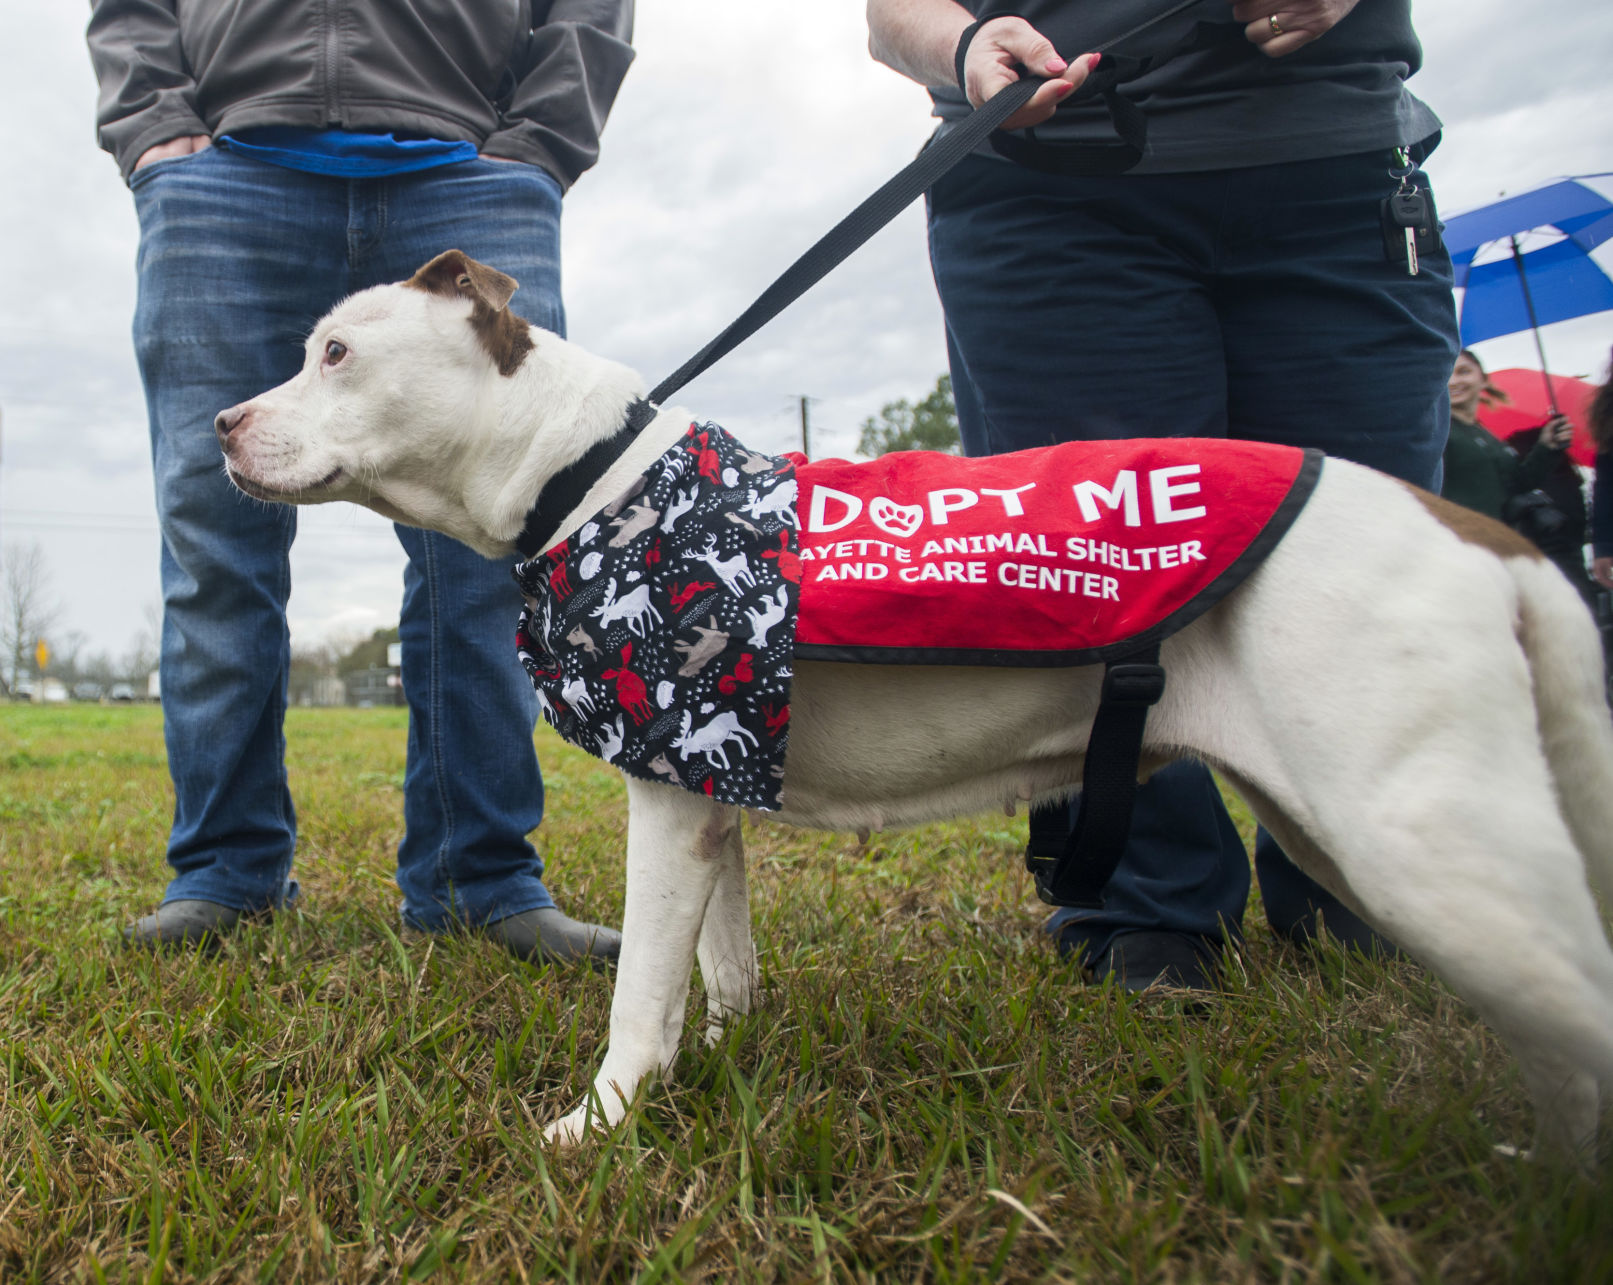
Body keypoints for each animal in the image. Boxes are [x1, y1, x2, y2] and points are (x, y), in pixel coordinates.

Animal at [214, 256, 1613, 1160]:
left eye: (335, 352)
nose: (222, 420)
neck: (587, 476)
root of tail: (1474, 530)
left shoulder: (664, 799)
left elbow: (637, 998)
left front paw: (594, 1129)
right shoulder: (708, 791)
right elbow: (718, 966)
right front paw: (721, 1058)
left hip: (1428, 845)